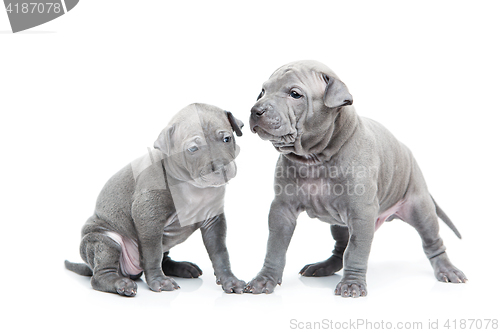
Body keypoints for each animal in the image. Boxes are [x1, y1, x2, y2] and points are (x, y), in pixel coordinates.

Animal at [65, 103, 245, 296]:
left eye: (226, 139)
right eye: (193, 149)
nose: (221, 168)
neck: (193, 187)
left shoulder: (214, 221)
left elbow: (220, 252)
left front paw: (229, 280)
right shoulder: (149, 220)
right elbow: (152, 254)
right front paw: (159, 281)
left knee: (164, 258)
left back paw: (181, 267)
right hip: (104, 240)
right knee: (101, 274)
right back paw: (120, 283)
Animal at [244, 59, 466, 296]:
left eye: (295, 94)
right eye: (263, 91)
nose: (256, 110)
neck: (314, 158)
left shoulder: (361, 213)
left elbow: (356, 250)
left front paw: (352, 285)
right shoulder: (282, 209)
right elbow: (275, 246)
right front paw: (264, 279)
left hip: (419, 206)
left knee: (432, 241)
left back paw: (447, 270)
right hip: (339, 223)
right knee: (340, 248)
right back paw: (323, 267)